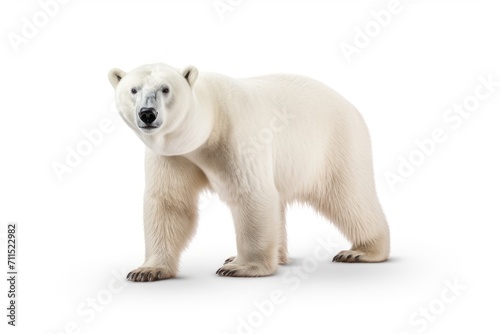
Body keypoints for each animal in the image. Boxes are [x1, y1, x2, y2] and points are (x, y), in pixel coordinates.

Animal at [108, 63, 390, 282]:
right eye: (133, 90)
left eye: (165, 89)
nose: (147, 114)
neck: (207, 126)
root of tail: (352, 106)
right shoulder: (173, 156)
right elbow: (170, 203)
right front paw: (147, 270)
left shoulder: (238, 135)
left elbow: (251, 194)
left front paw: (242, 267)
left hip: (334, 144)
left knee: (348, 196)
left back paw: (361, 252)